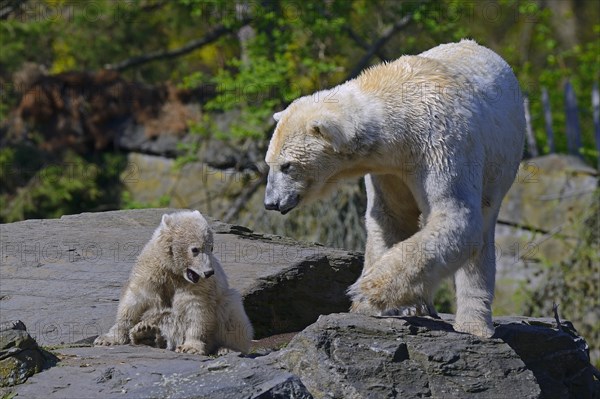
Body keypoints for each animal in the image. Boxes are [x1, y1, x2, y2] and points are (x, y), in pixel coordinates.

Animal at [94, 211, 253, 354]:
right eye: (195, 249)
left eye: (211, 247)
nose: (209, 272)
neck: (174, 272)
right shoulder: (150, 271)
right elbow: (134, 300)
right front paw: (107, 338)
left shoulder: (199, 286)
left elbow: (197, 309)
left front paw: (191, 347)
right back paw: (146, 333)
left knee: (231, 310)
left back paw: (226, 348)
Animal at [264, 39, 524, 338]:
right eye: (269, 162)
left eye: (287, 165)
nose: (271, 202)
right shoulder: (388, 167)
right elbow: (391, 217)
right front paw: (386, 306)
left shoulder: (442, 143)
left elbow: (455, 215)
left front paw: (365, 291)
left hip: (499, 164)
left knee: (481, 229)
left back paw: (474, 324)